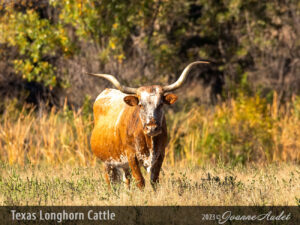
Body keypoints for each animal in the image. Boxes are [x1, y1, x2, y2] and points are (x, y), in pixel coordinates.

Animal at [86, 60, 209, 189]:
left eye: (161, 104)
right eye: (140, 105)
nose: (152, 128)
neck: (149, 141)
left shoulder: (160, 155)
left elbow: (154, 180)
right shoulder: (132, 156)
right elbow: (140, 181)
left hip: (122, 164)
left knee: (126, 180)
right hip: (106, 162)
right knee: (110, 183)